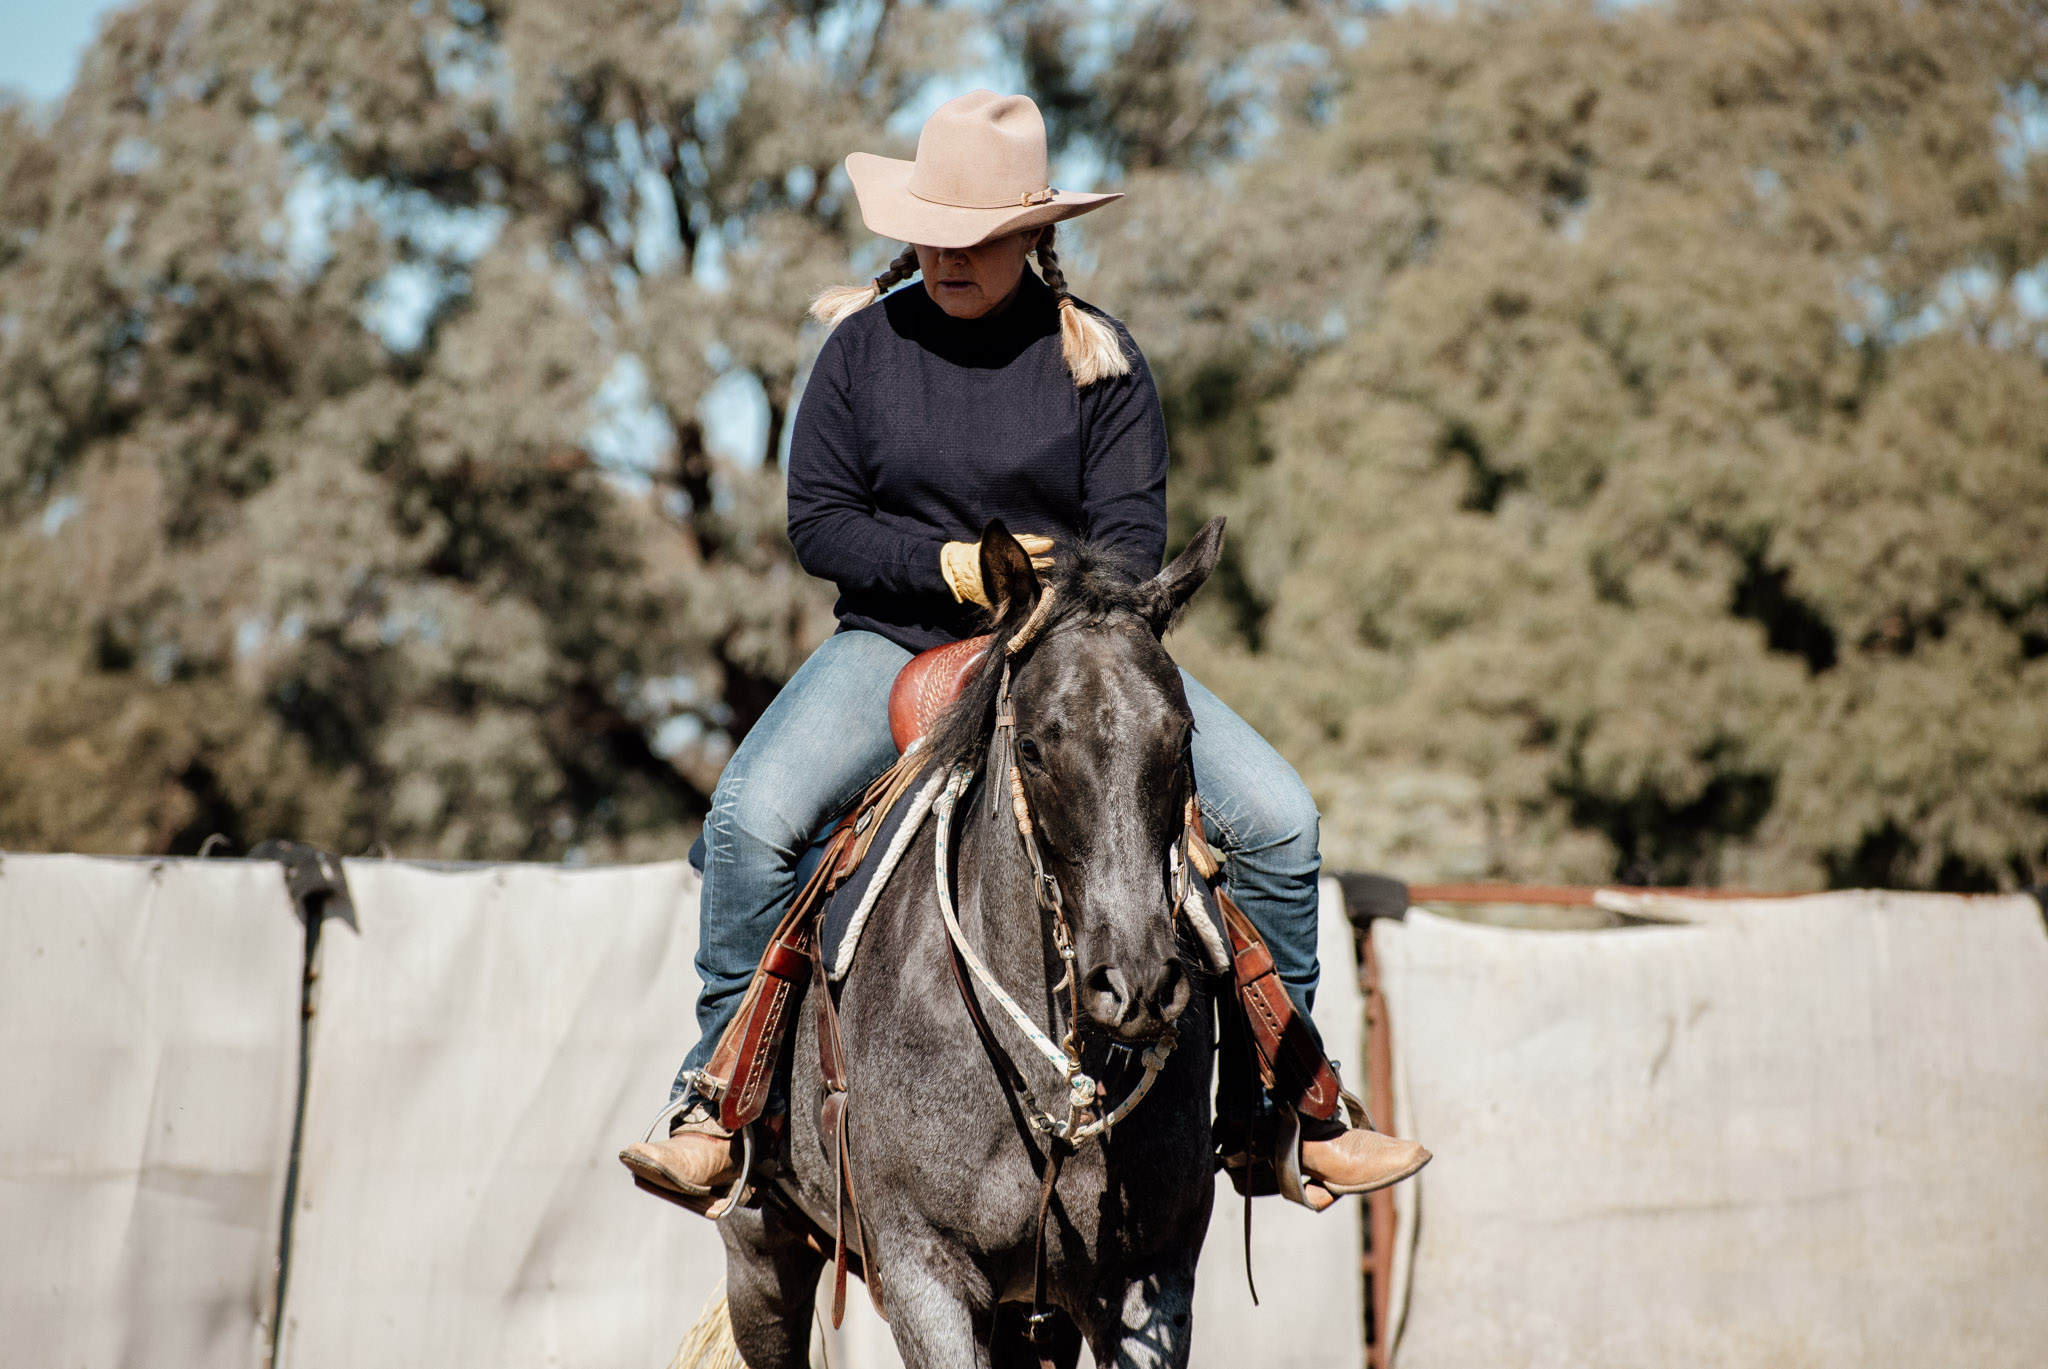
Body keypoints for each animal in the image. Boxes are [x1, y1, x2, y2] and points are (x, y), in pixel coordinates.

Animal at [714, 517, 1230, 1369]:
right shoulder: (922, 1270)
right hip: (759, 1248)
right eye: (1034, 748)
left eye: (1182, 736)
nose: (1137, 985)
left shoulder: (1151, 1278)